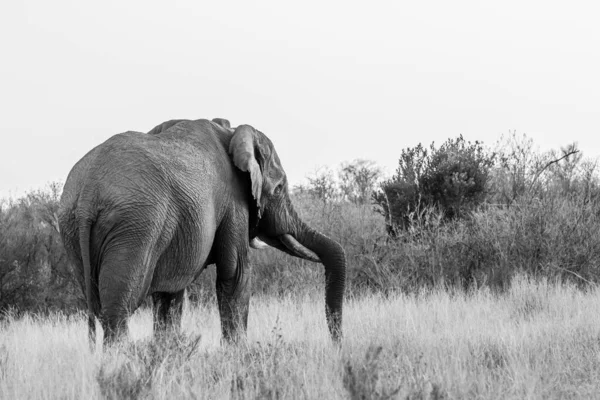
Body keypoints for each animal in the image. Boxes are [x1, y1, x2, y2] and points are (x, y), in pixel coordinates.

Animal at [59, 117, 346, 346]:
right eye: (278, 189)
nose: (336, 345)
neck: (231, 132)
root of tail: (88, 195)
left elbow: (169, 296)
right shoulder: (233, 202)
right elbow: (236, 275)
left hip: (72, 229)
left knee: (101, 307)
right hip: (135, 227)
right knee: (118, 311)